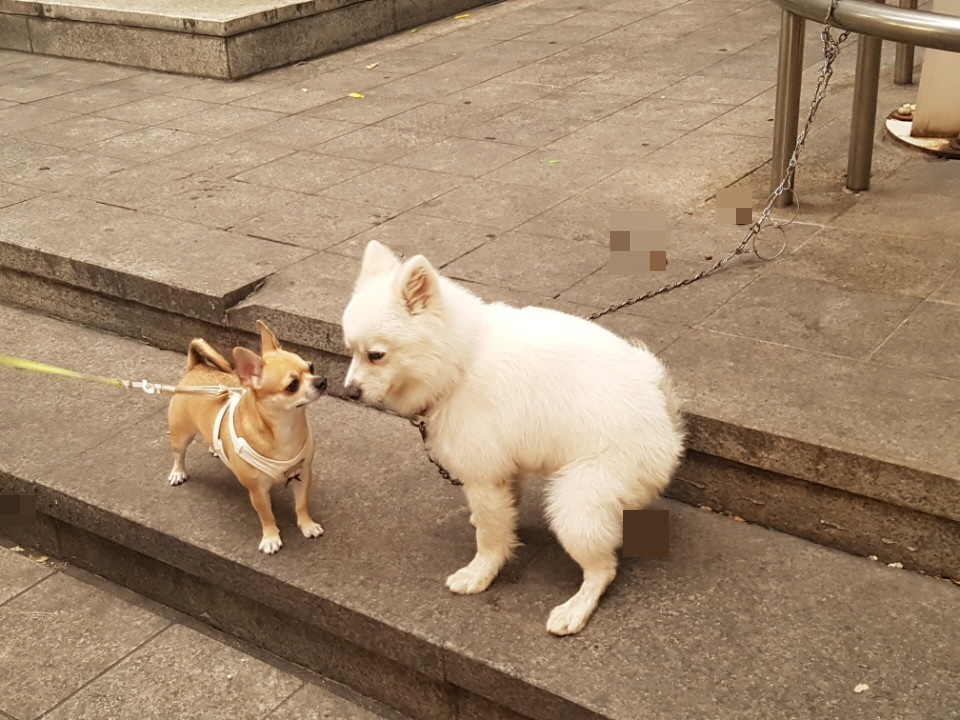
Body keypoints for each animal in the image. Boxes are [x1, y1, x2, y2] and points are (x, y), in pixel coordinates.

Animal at [342, 242, 688, 636]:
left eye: (376, 355)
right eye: (350, 350)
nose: (349, 391)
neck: (460, 361)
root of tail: (662, 406)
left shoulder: (483, 474)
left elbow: (491, 536)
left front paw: (480, 573)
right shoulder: (504, 464)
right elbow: (505, 507)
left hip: (575, 502)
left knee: (603, 570)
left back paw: (575, 609)